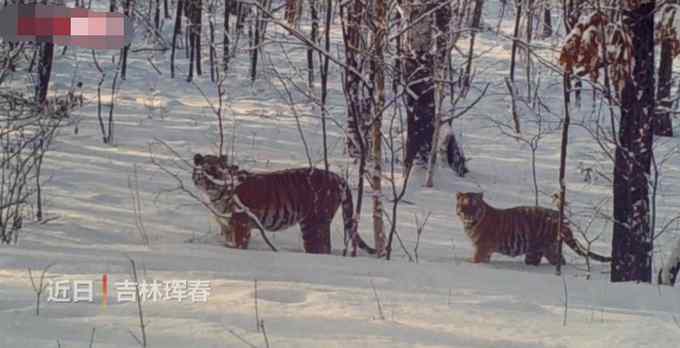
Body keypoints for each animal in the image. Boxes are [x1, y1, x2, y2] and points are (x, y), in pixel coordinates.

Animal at [193, 154, 378, 254]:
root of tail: (337, 177)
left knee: (321, 249)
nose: (212, 183)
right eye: (207, 170)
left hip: (313, 223)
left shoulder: (241, 225)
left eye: (218, 171)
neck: (216, 197)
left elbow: (239, 246)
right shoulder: (226, 226)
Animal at [456, 192, 612, 266]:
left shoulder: (482, 247)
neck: (470, 223)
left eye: (474, 205)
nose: (468, 214)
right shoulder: (485, 250)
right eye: (464, 205)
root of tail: (560, 216)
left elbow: (476, 260)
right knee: (560, 260)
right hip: (550, 248)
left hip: (536, 250)